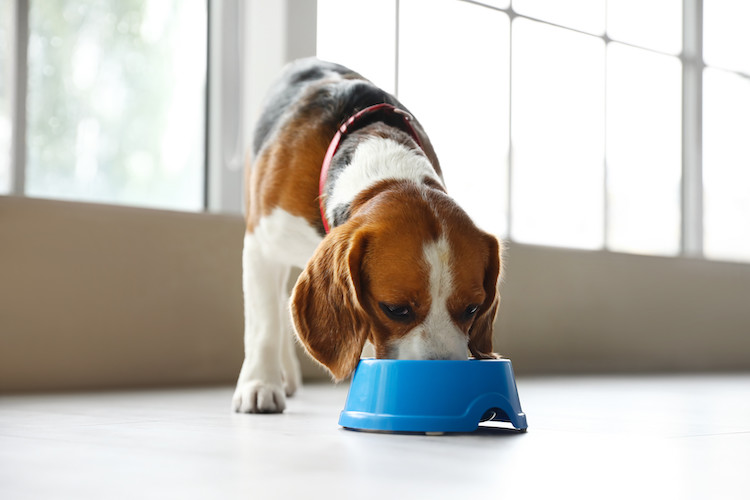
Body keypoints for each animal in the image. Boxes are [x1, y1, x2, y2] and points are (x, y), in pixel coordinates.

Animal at [234, 57, 506, 414]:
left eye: (473, 309)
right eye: (395, 309)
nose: (439, 384)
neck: (384, 169)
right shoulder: (261, 244)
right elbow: (264, 325)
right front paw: (259, 385)